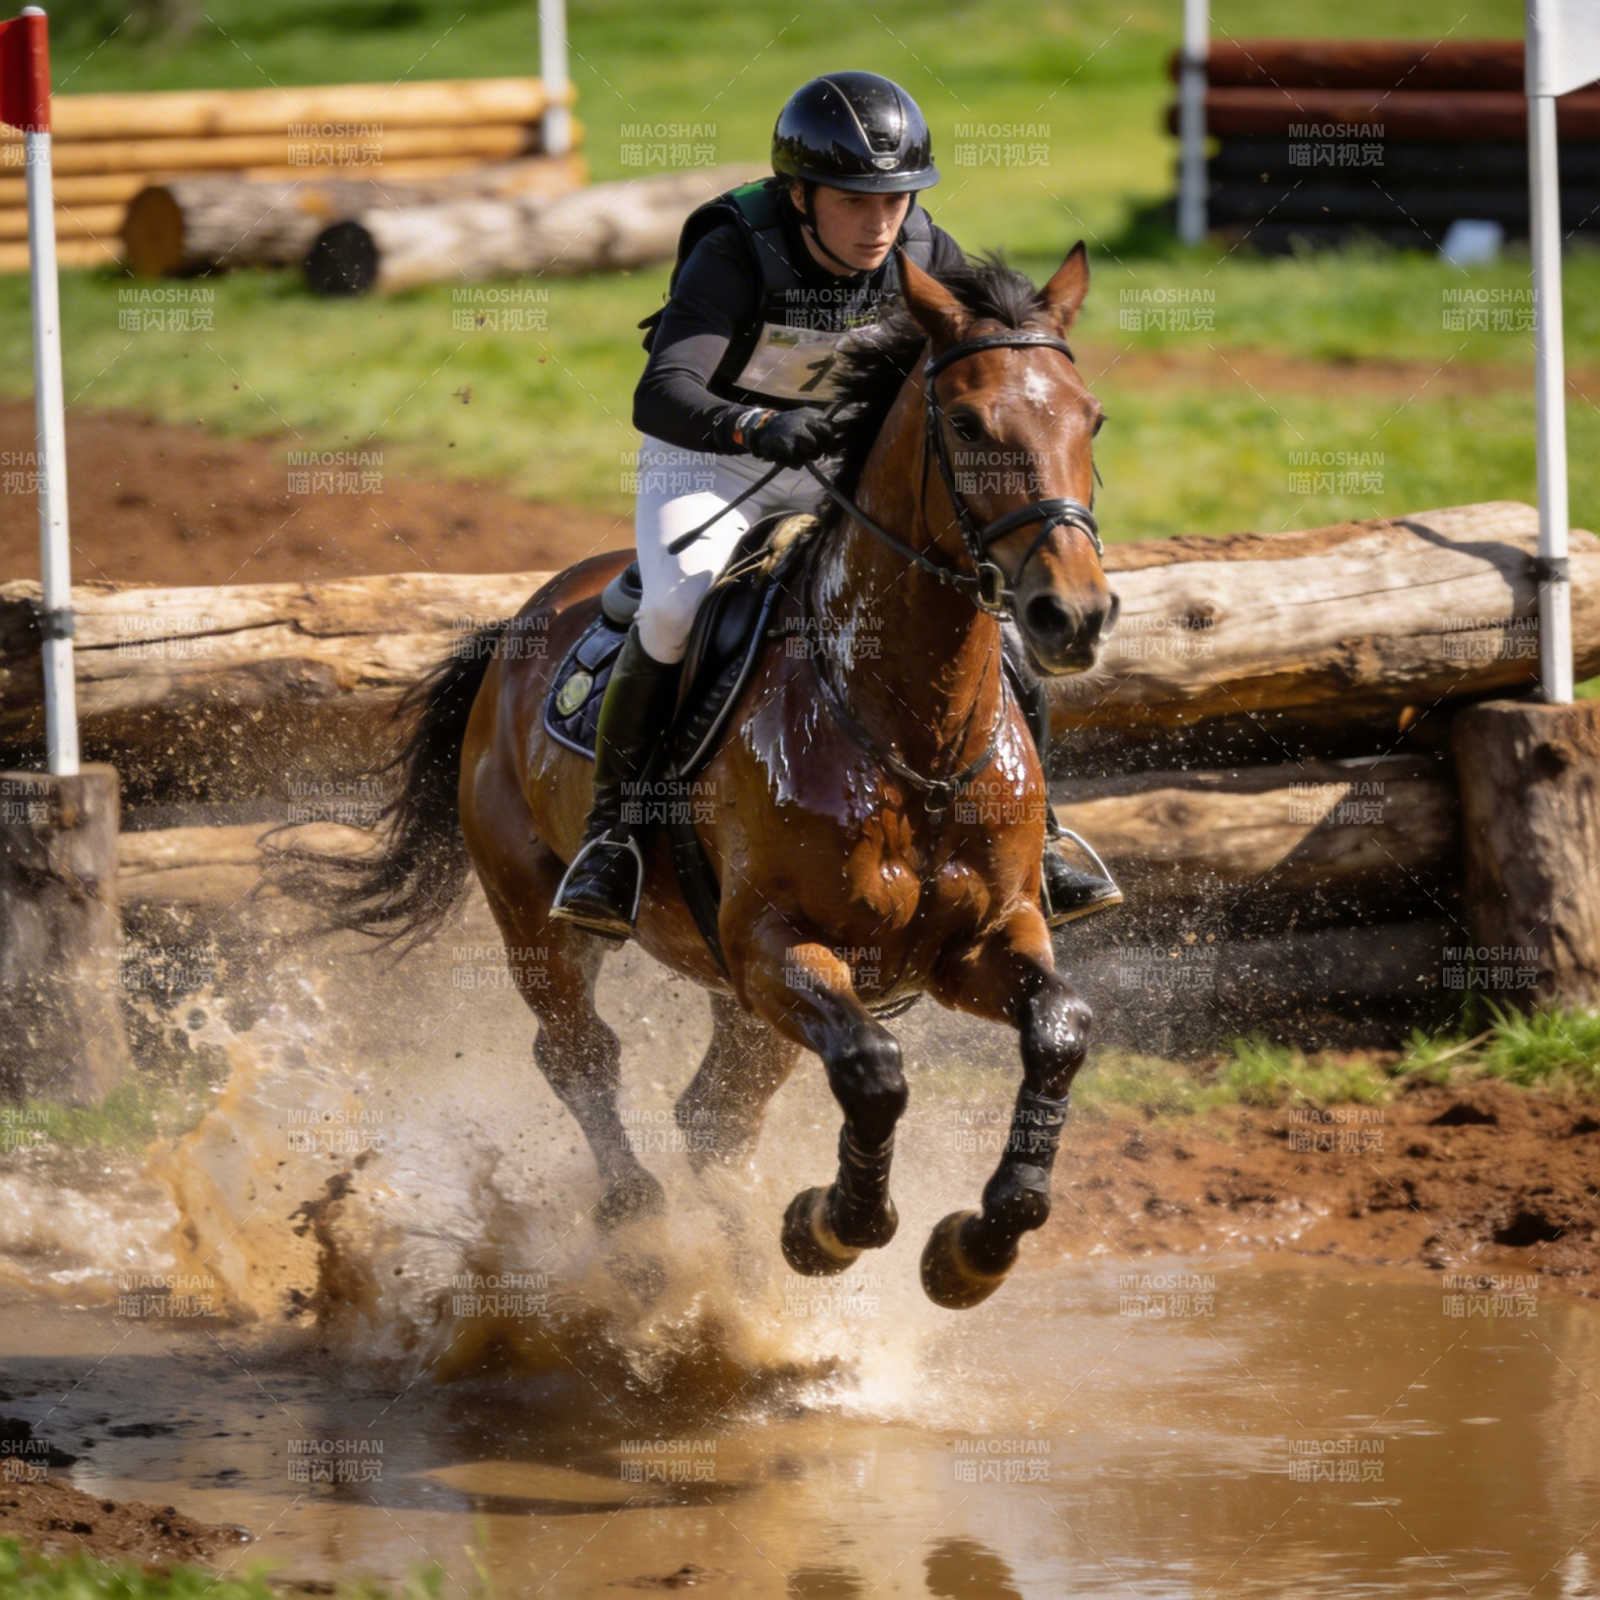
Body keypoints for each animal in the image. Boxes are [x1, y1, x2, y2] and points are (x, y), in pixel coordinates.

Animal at [327, 246, 1117, 1309]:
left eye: (1090, 418)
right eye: (966, 424)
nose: (1073, 615)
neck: (908, 734)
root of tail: (516, 625)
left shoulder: (987, 935)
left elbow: (1060, 1029)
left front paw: (977, 1246)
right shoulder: (774, 944)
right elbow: (874, 1068)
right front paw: (828, 1228)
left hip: (729, 993)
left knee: (713, 1111)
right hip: (536, 911)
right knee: (580, 1053)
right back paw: (640, 1226)